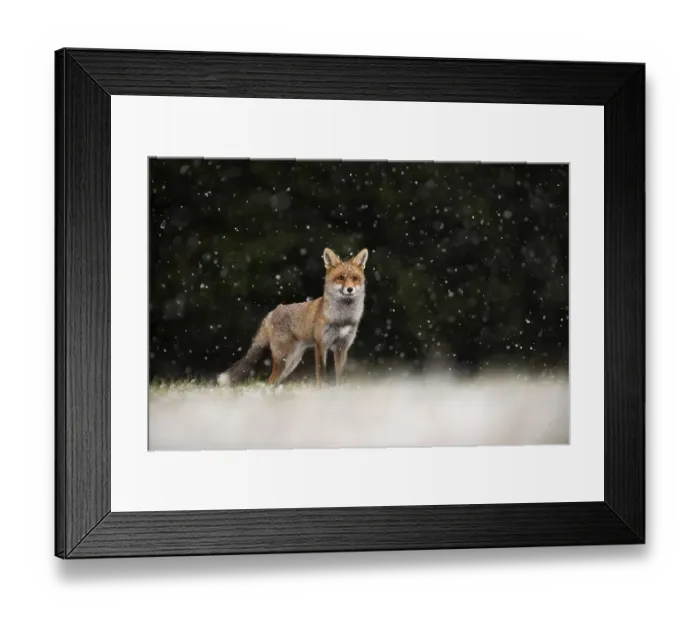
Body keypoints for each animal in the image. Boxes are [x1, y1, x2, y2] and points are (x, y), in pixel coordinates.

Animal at [217, 248, 369, 387]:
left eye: (355, 278)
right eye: (341, 277)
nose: (349, 289)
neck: (342, 318)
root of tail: (272, 312)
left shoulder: (342, 348)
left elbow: (340, 378)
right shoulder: (321, 345)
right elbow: (322, 375)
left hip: (291, 363)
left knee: (274, 382)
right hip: (284, 360)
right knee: (269, 382)